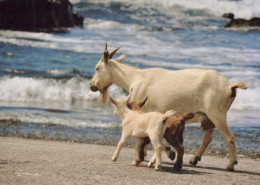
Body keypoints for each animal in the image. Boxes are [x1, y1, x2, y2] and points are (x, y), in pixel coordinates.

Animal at [90, 43, 247, 172]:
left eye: (97, 68)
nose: (92, 85)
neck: (134, 78)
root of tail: (230, 85)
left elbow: (143, 139)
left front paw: (153, 155)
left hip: (217, 114)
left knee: (229, 137)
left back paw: (230, 165)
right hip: (208, 116)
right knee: (208, 136)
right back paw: (194, 159)